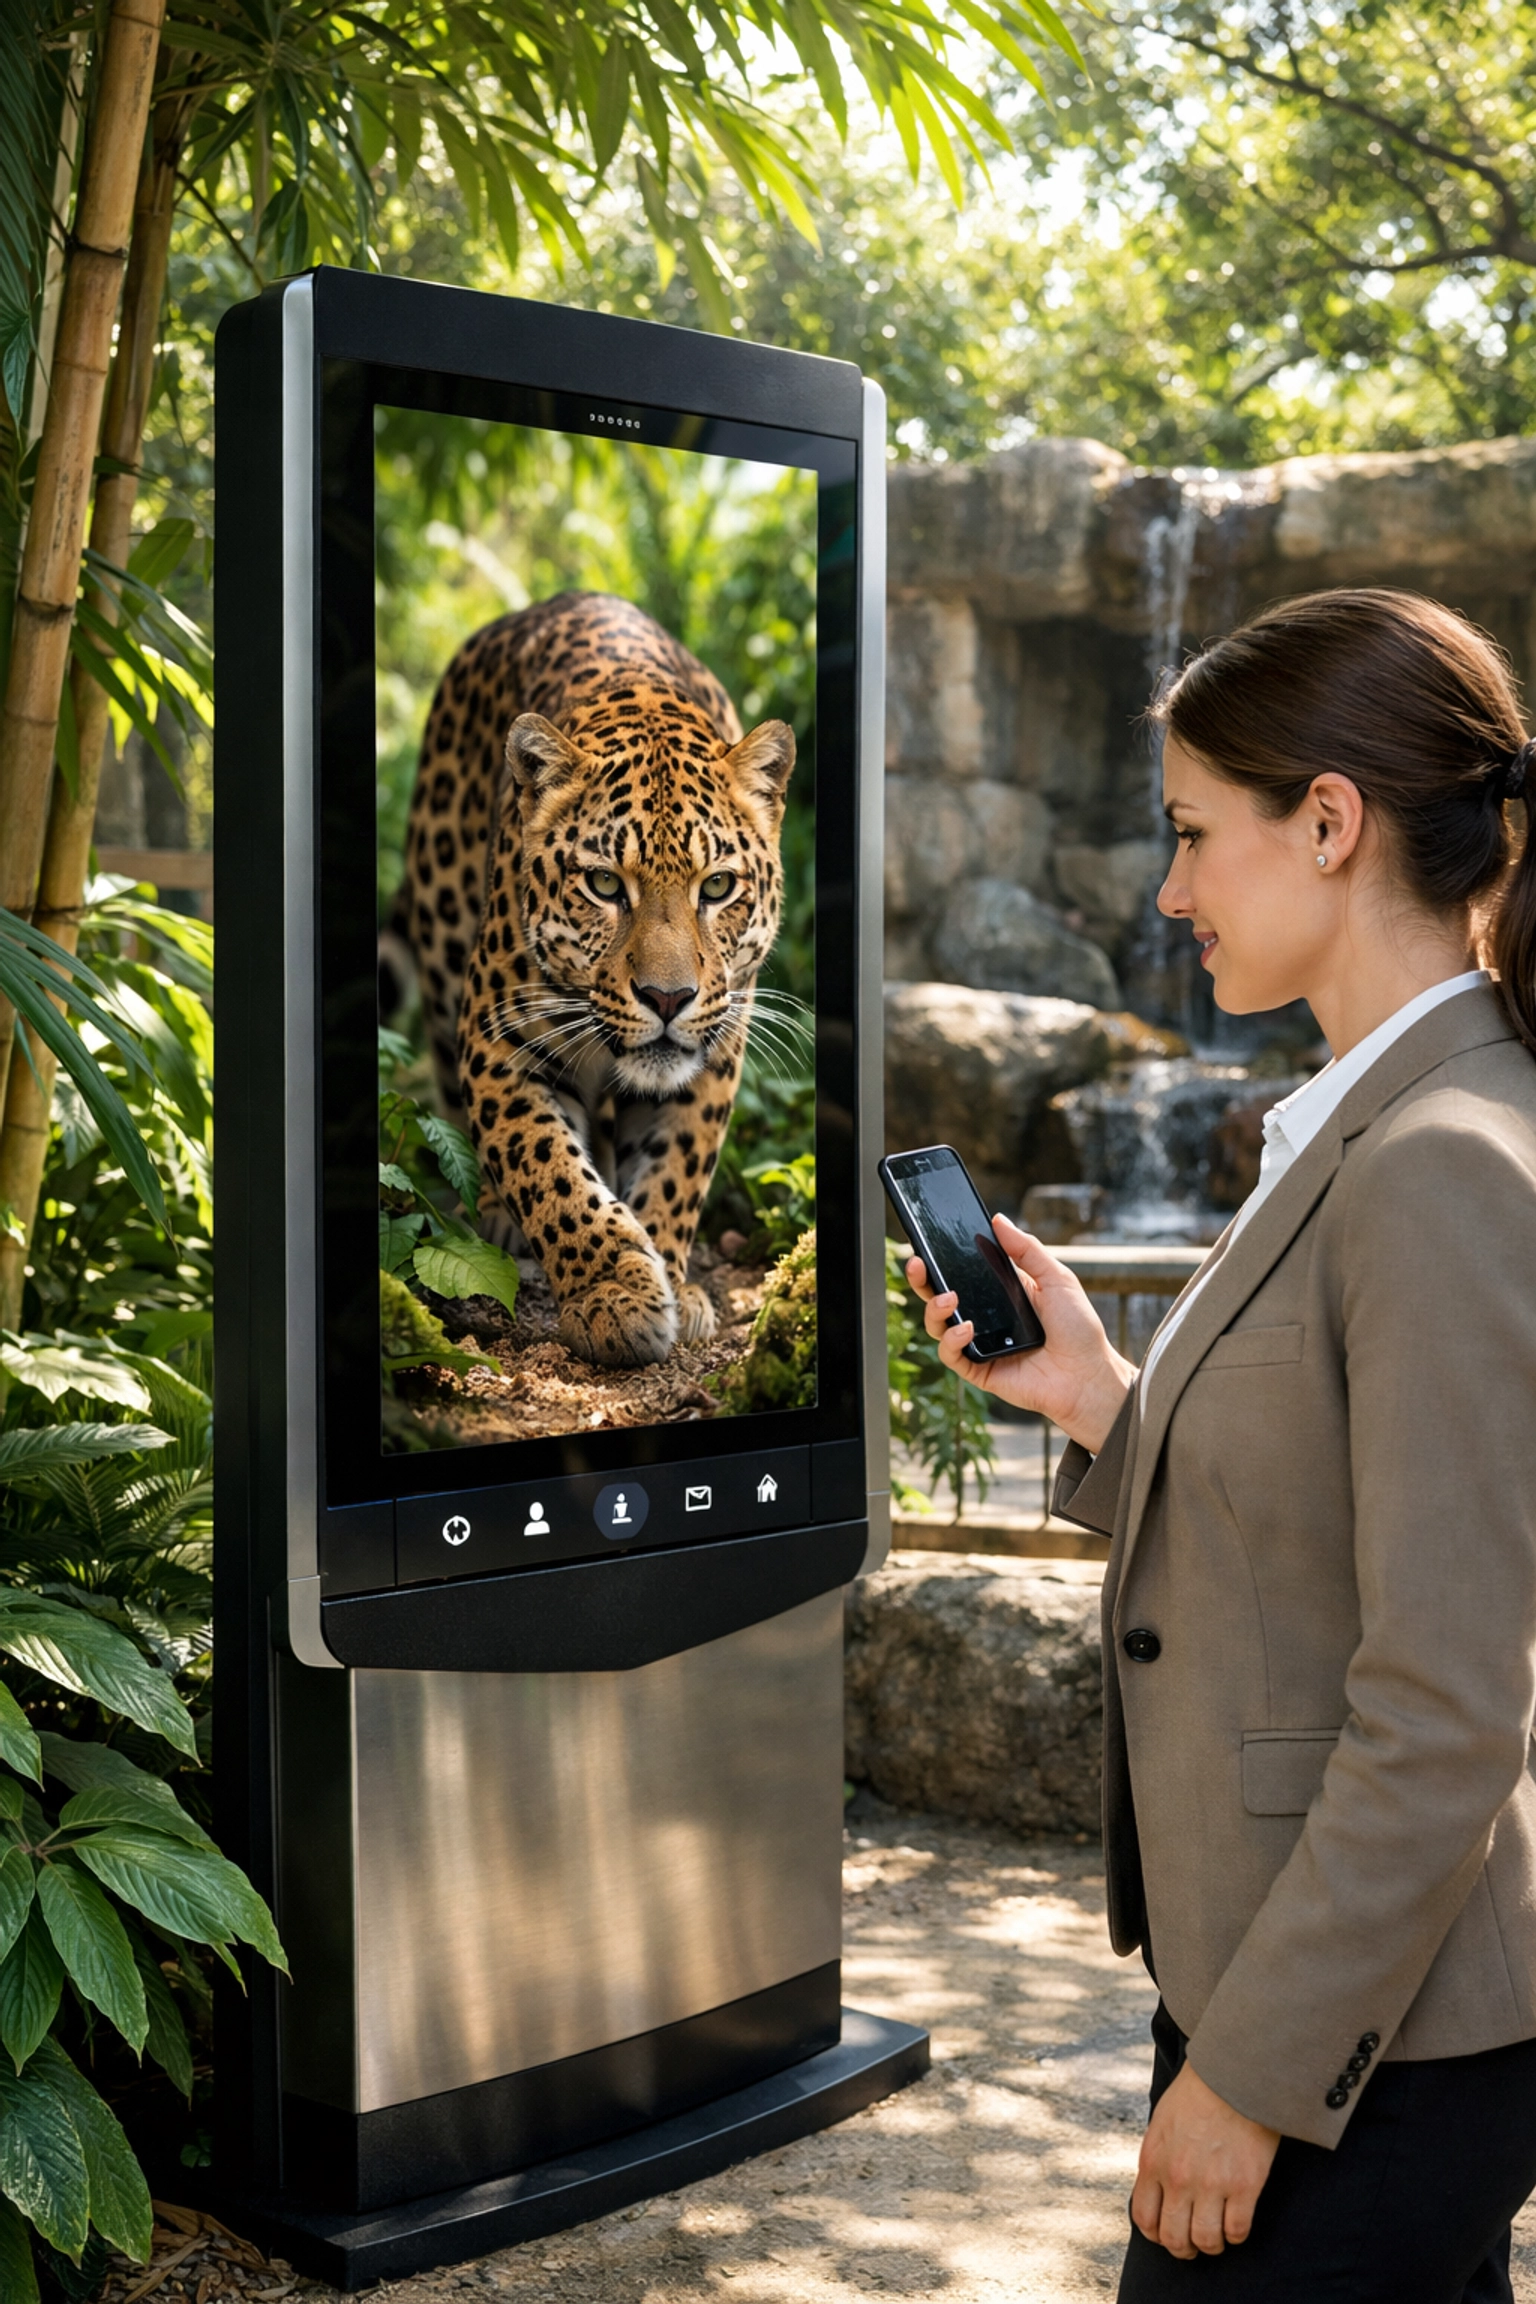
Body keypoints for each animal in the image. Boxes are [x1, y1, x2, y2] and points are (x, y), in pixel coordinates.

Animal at [384, 589, 797, 1369]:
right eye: (605, 884)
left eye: (718, 886)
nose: (667, 998)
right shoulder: (500, 1042)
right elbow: (549, 1171)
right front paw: (615, 1294)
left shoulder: (714, 1048)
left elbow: (674, 1172)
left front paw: (670, 1277)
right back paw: (498, 1219)